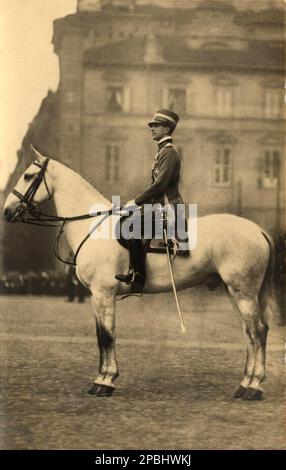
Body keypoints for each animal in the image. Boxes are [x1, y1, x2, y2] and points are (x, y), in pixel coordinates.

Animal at [3, 150, 282, 400]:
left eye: (28, 176)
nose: (7, 211)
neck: (94, 226)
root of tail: (258, 230)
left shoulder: (104, 294)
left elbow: (108, 336)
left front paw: (105, 381)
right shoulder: (95, 296)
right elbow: (100, 336)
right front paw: (103, 377)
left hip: (243, 292)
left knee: (258, 331)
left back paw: (254, 387)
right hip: (234, 291)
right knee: (249, 333)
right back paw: (244, 383)